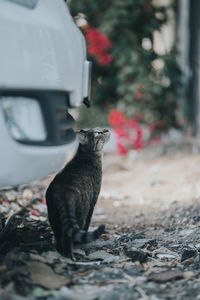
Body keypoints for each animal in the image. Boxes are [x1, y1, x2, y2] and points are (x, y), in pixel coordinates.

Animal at [45, 127, 110, 258]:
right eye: (98, 132)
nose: (107, 130)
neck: (85, 155)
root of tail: (62, 193)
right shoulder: (93, 202)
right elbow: (87, 225)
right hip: (80, 212)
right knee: (67, 236)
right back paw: (70, 256)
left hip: (53, 215)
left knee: (58, 235)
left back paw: (60, 254)